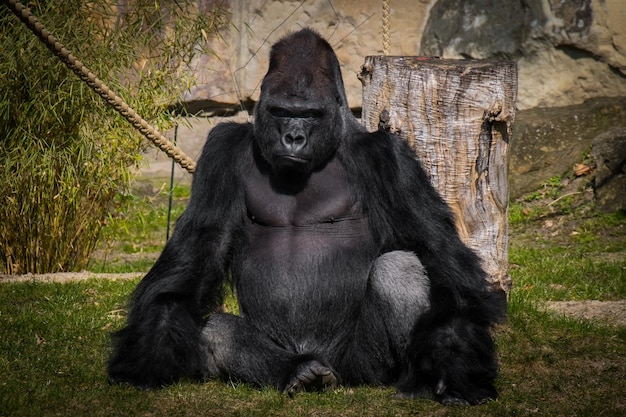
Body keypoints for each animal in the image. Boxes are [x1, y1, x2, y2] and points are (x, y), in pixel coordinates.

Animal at [108, 27, 502, 404]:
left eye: (310, 115)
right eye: (282, 112)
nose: (294, 137)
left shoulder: (390, 158)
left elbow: (441, 259)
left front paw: (452, 364)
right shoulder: (222, 148)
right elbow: (200, 250)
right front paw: (152, 347)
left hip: (359, 366)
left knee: (400, 268)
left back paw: (415, 379)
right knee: (217, 332)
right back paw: (298, 371)